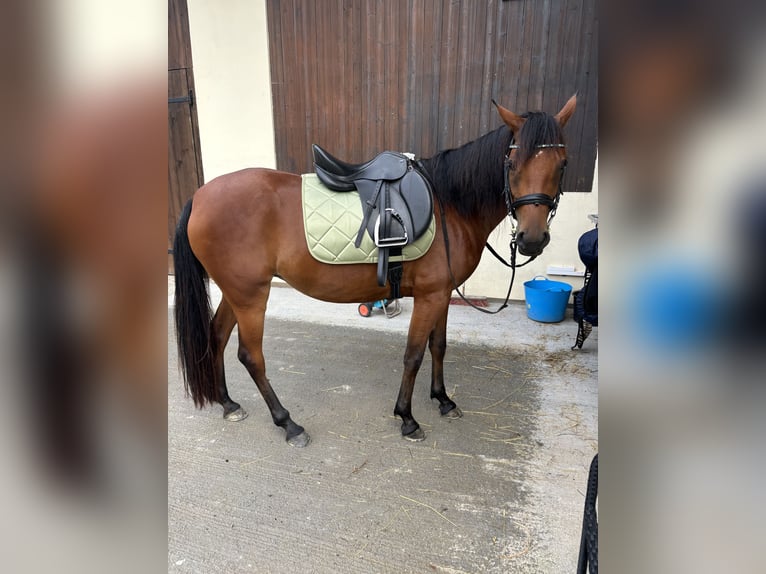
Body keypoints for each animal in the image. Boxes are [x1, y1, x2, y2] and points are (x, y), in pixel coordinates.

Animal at [176, 94, 576, 448]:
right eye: (512, 165)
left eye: (562, 164)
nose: (532, 239)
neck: (449, 203)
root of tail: (199, 196)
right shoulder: (430, 296)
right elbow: (414, 354)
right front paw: (407, 418)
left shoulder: (442, 293)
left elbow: (439, 346)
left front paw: (444, 400)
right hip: (250, 295)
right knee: (250, 355)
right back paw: (288, 423)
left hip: (236, 292)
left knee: (217, 336)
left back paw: (228, 403)